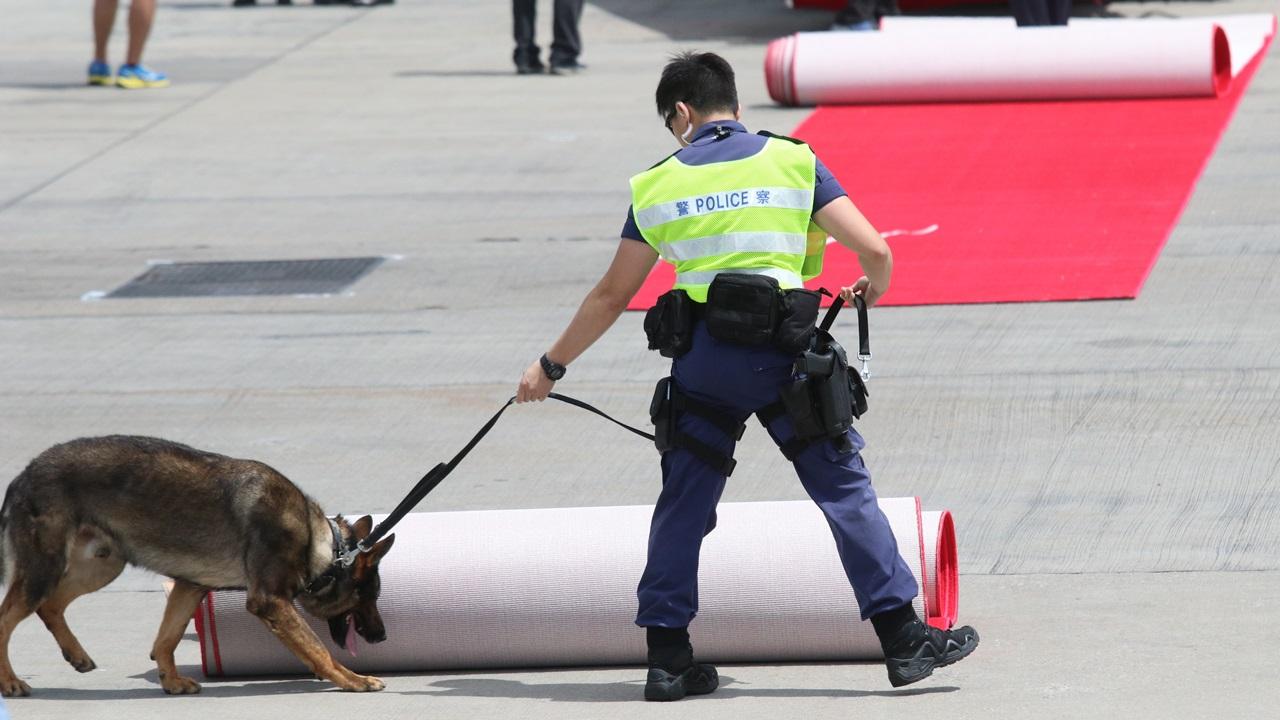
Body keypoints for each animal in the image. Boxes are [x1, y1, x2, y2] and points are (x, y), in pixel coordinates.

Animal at [0, 435, 396, 696]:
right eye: (368, 598)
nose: (382, 636)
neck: (324, 546)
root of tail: (24, 474)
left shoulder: (190, 587)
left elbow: (167, 639)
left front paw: (171, 681)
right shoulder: (270, 602)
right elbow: (318, 650)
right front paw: (352, 679)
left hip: (100, 567)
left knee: (51, 606)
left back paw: (77, 655)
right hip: (46, 570)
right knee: (7, 617)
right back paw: (10, 682)